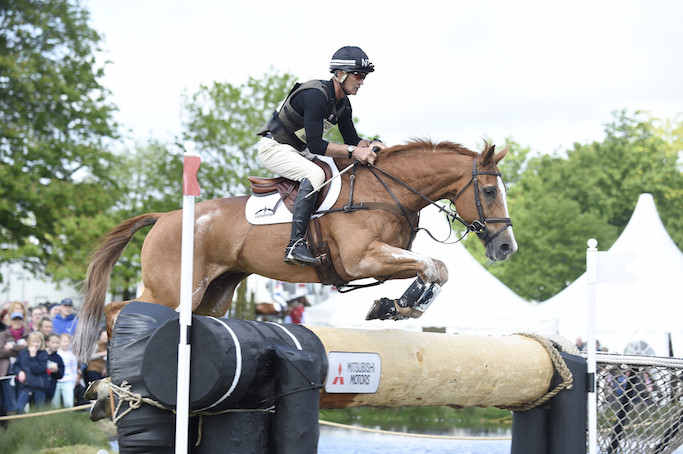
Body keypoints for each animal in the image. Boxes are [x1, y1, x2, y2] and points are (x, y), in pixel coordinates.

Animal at [71, 138, 520, 362]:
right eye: (488, 190)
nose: (506, 247)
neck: (384, 193)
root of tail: (164, 216)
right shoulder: (361, 260)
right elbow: (432, 264)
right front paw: (401, 305)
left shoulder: (382, 260)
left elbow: (436, 269)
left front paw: (395, 306)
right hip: (172, 289)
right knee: (119, 309)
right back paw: (105, 383)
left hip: (213, 295)